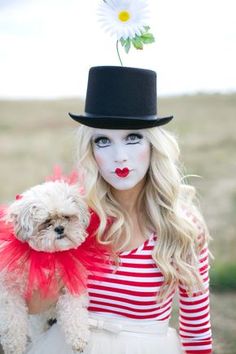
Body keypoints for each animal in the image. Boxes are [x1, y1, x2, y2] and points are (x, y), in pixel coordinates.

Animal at [0, 180, 91, 354]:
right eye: (46, 223)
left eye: (66, 217)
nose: (60, 228)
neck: (49, 256)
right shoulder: (10, 292)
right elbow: (13, 321)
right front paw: (14, 346)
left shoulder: (70, 286)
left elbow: (74, 312)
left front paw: (78, 338)